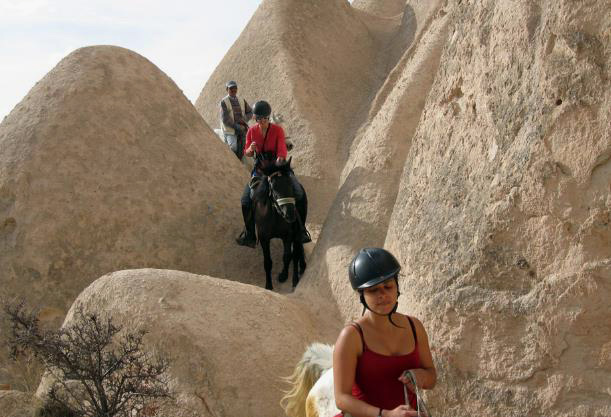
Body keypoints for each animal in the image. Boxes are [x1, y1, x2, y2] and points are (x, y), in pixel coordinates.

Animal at [251, 158, 306, 290]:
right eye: (273, 186)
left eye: (290, 184)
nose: (290, 214)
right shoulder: (264, 239)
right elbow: (267, 262)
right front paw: (268, 285)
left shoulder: (288, 236)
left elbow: (287, 256)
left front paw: (283, 275)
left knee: (297, 251)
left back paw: (298, 273)